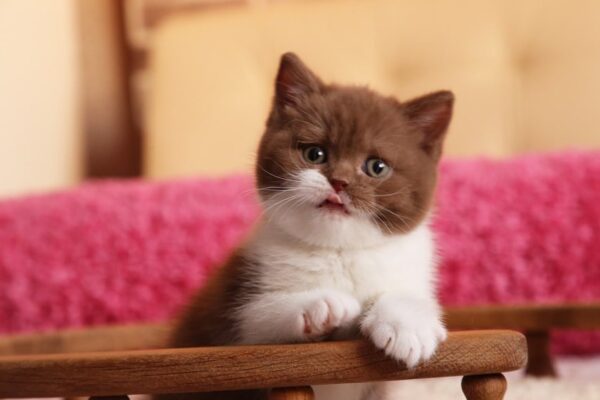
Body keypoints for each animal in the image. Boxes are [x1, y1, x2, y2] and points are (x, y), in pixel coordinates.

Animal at [162, 53, 452, 400]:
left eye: (376, 167)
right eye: (315, 153)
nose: (339, 182)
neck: (339, 250)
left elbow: (405, 301)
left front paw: (408, 325)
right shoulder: (227, 310)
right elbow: (253, 321)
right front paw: (321, 305)